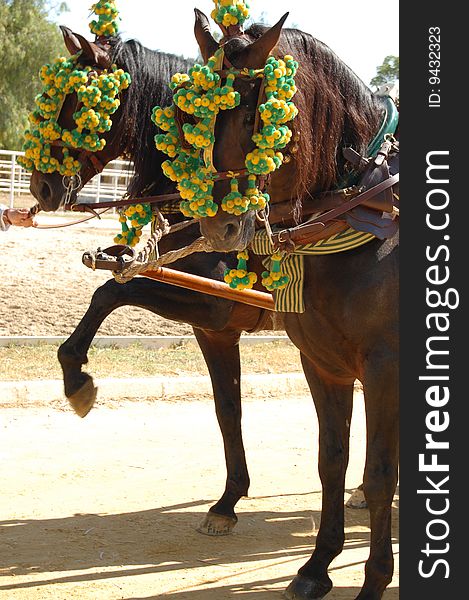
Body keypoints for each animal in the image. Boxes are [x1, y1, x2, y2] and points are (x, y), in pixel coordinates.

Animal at [192, 9, 396, 600]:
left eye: (254, 106)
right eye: (199, 108)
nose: (219, 224)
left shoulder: (387, 369)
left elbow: (380, 475)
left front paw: (374, 579)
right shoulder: (322, 363)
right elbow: (333, 462)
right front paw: (317, 565)